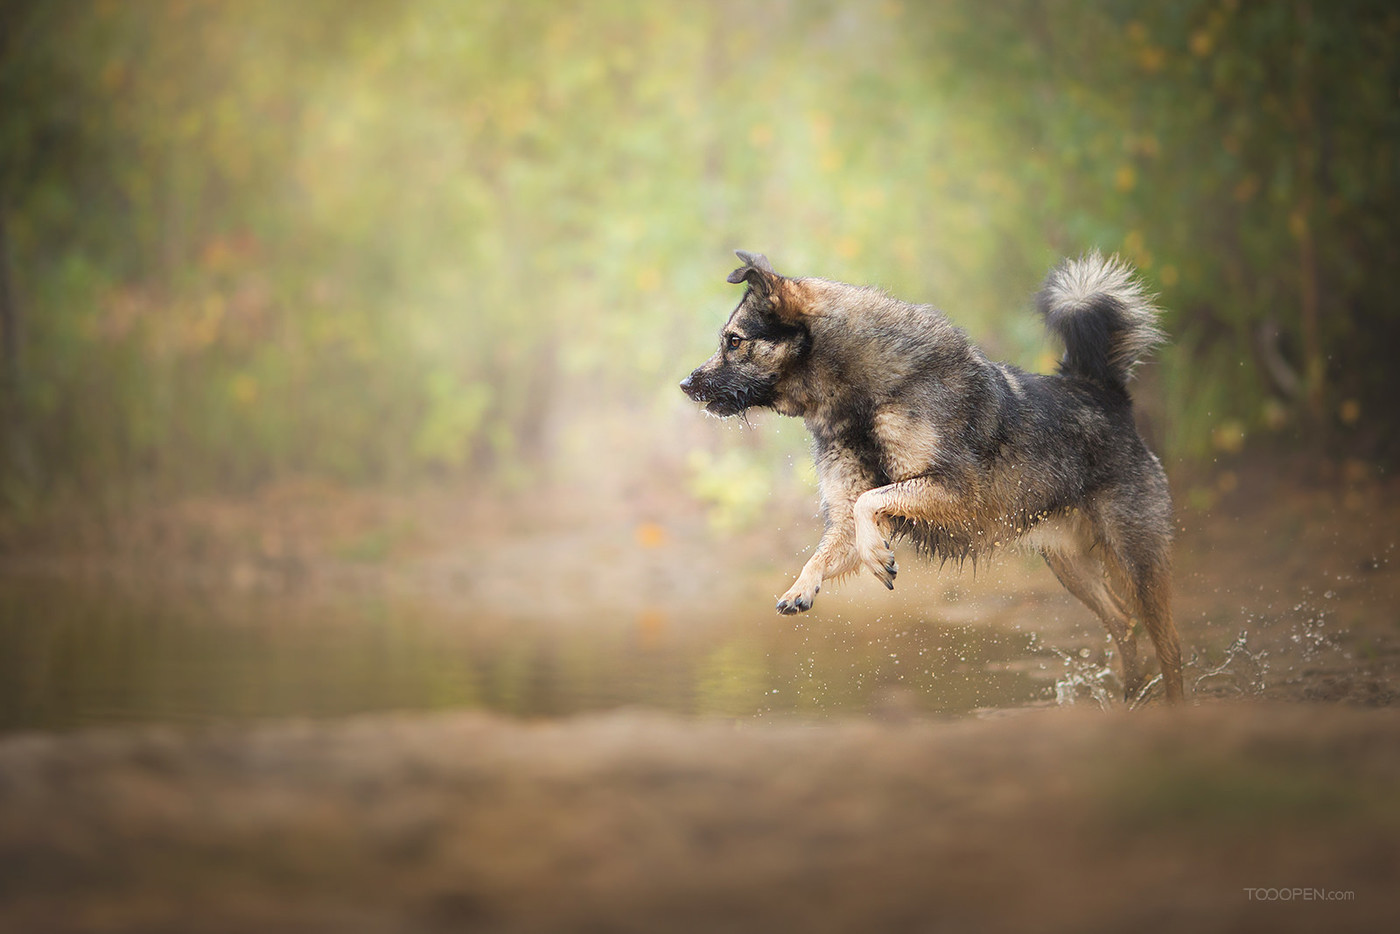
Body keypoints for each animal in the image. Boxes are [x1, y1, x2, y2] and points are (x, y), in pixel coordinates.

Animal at [683, 247, 1187, 700]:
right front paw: (805, 587)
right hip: (1070, 566)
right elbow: (830, 544)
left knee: (1169, 647)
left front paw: (877, 557)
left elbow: (871, 500)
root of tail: (1104, 390)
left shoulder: (960, 493)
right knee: (1124, 625)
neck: (862, 398)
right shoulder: (849, 515)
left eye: (733, 340)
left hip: (1137, 562)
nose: (686, 384)